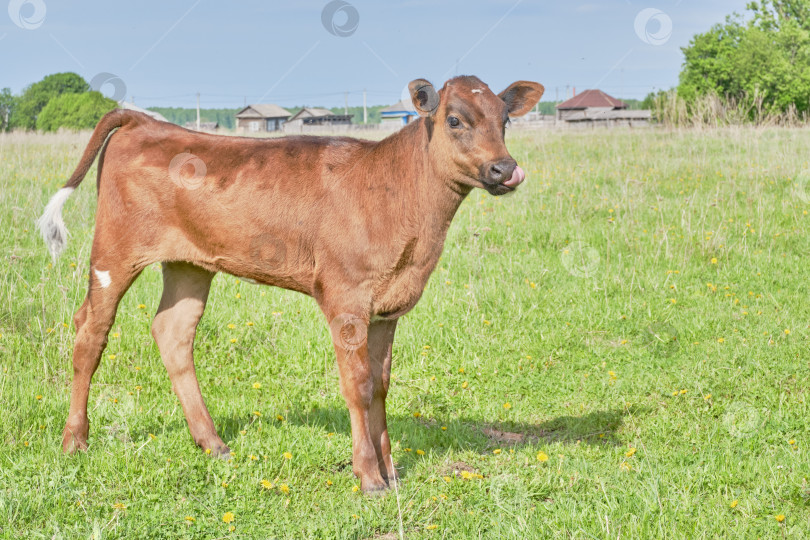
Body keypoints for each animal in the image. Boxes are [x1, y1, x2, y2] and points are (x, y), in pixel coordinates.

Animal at [39, 75, 544, 494]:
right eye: (455, 119)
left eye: (504, 119)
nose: (505, 169)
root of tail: (143, 121)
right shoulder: (345, 296)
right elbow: (358, 385)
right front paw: (370, 478)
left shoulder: (389, 305)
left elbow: (381, 385)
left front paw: (392, 472)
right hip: (113, 252)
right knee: (90, 334)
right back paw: (74, 441)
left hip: (189, 263)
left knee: (173, 332)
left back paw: (212, 442)